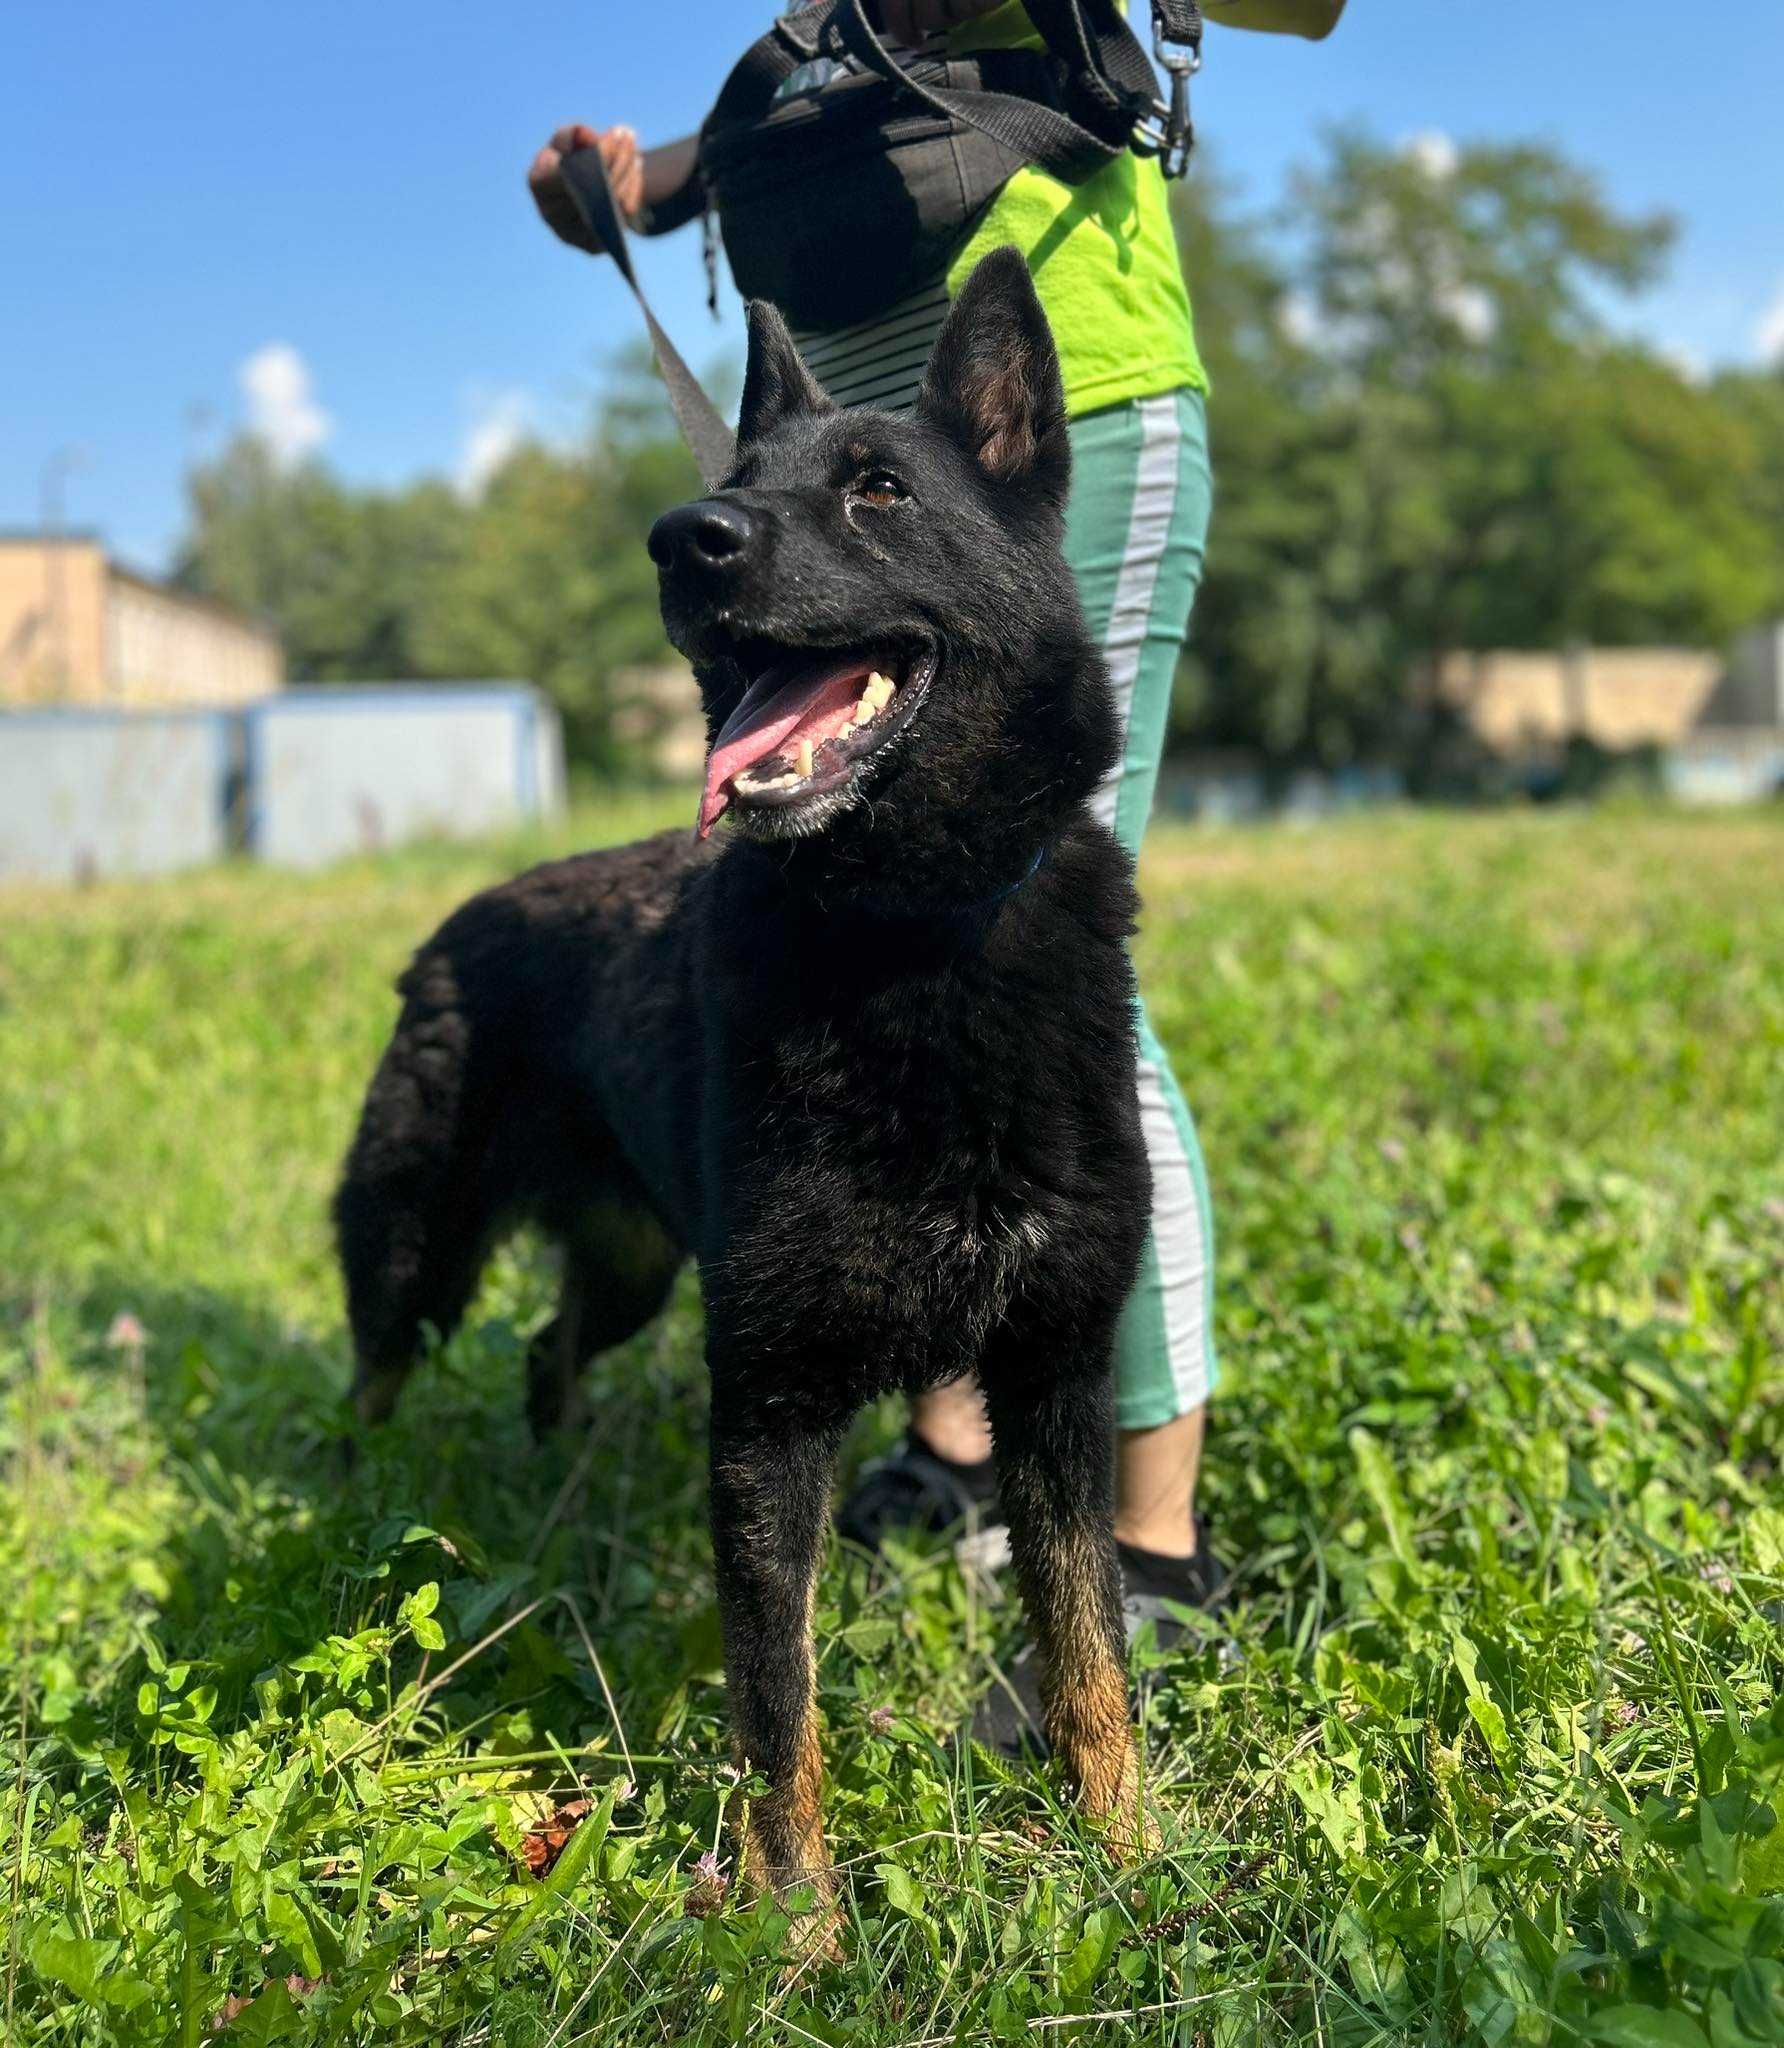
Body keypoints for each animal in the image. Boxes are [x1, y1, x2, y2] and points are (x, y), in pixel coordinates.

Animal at [335, 247, 1155, 1908]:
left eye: (879, 489)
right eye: (733, 488)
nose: (682, 539)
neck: (913, 938)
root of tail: (463, 917)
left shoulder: (1054, 1379)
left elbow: (1088, 1651)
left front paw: (1137, 1863)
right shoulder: (770, 1414)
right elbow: (780, 1710)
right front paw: (800, 1930)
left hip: (637, 1269)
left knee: (546, 1351)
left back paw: (560, 1485)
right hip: (421, 1248)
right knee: (377, 1372)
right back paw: (347, 1510)